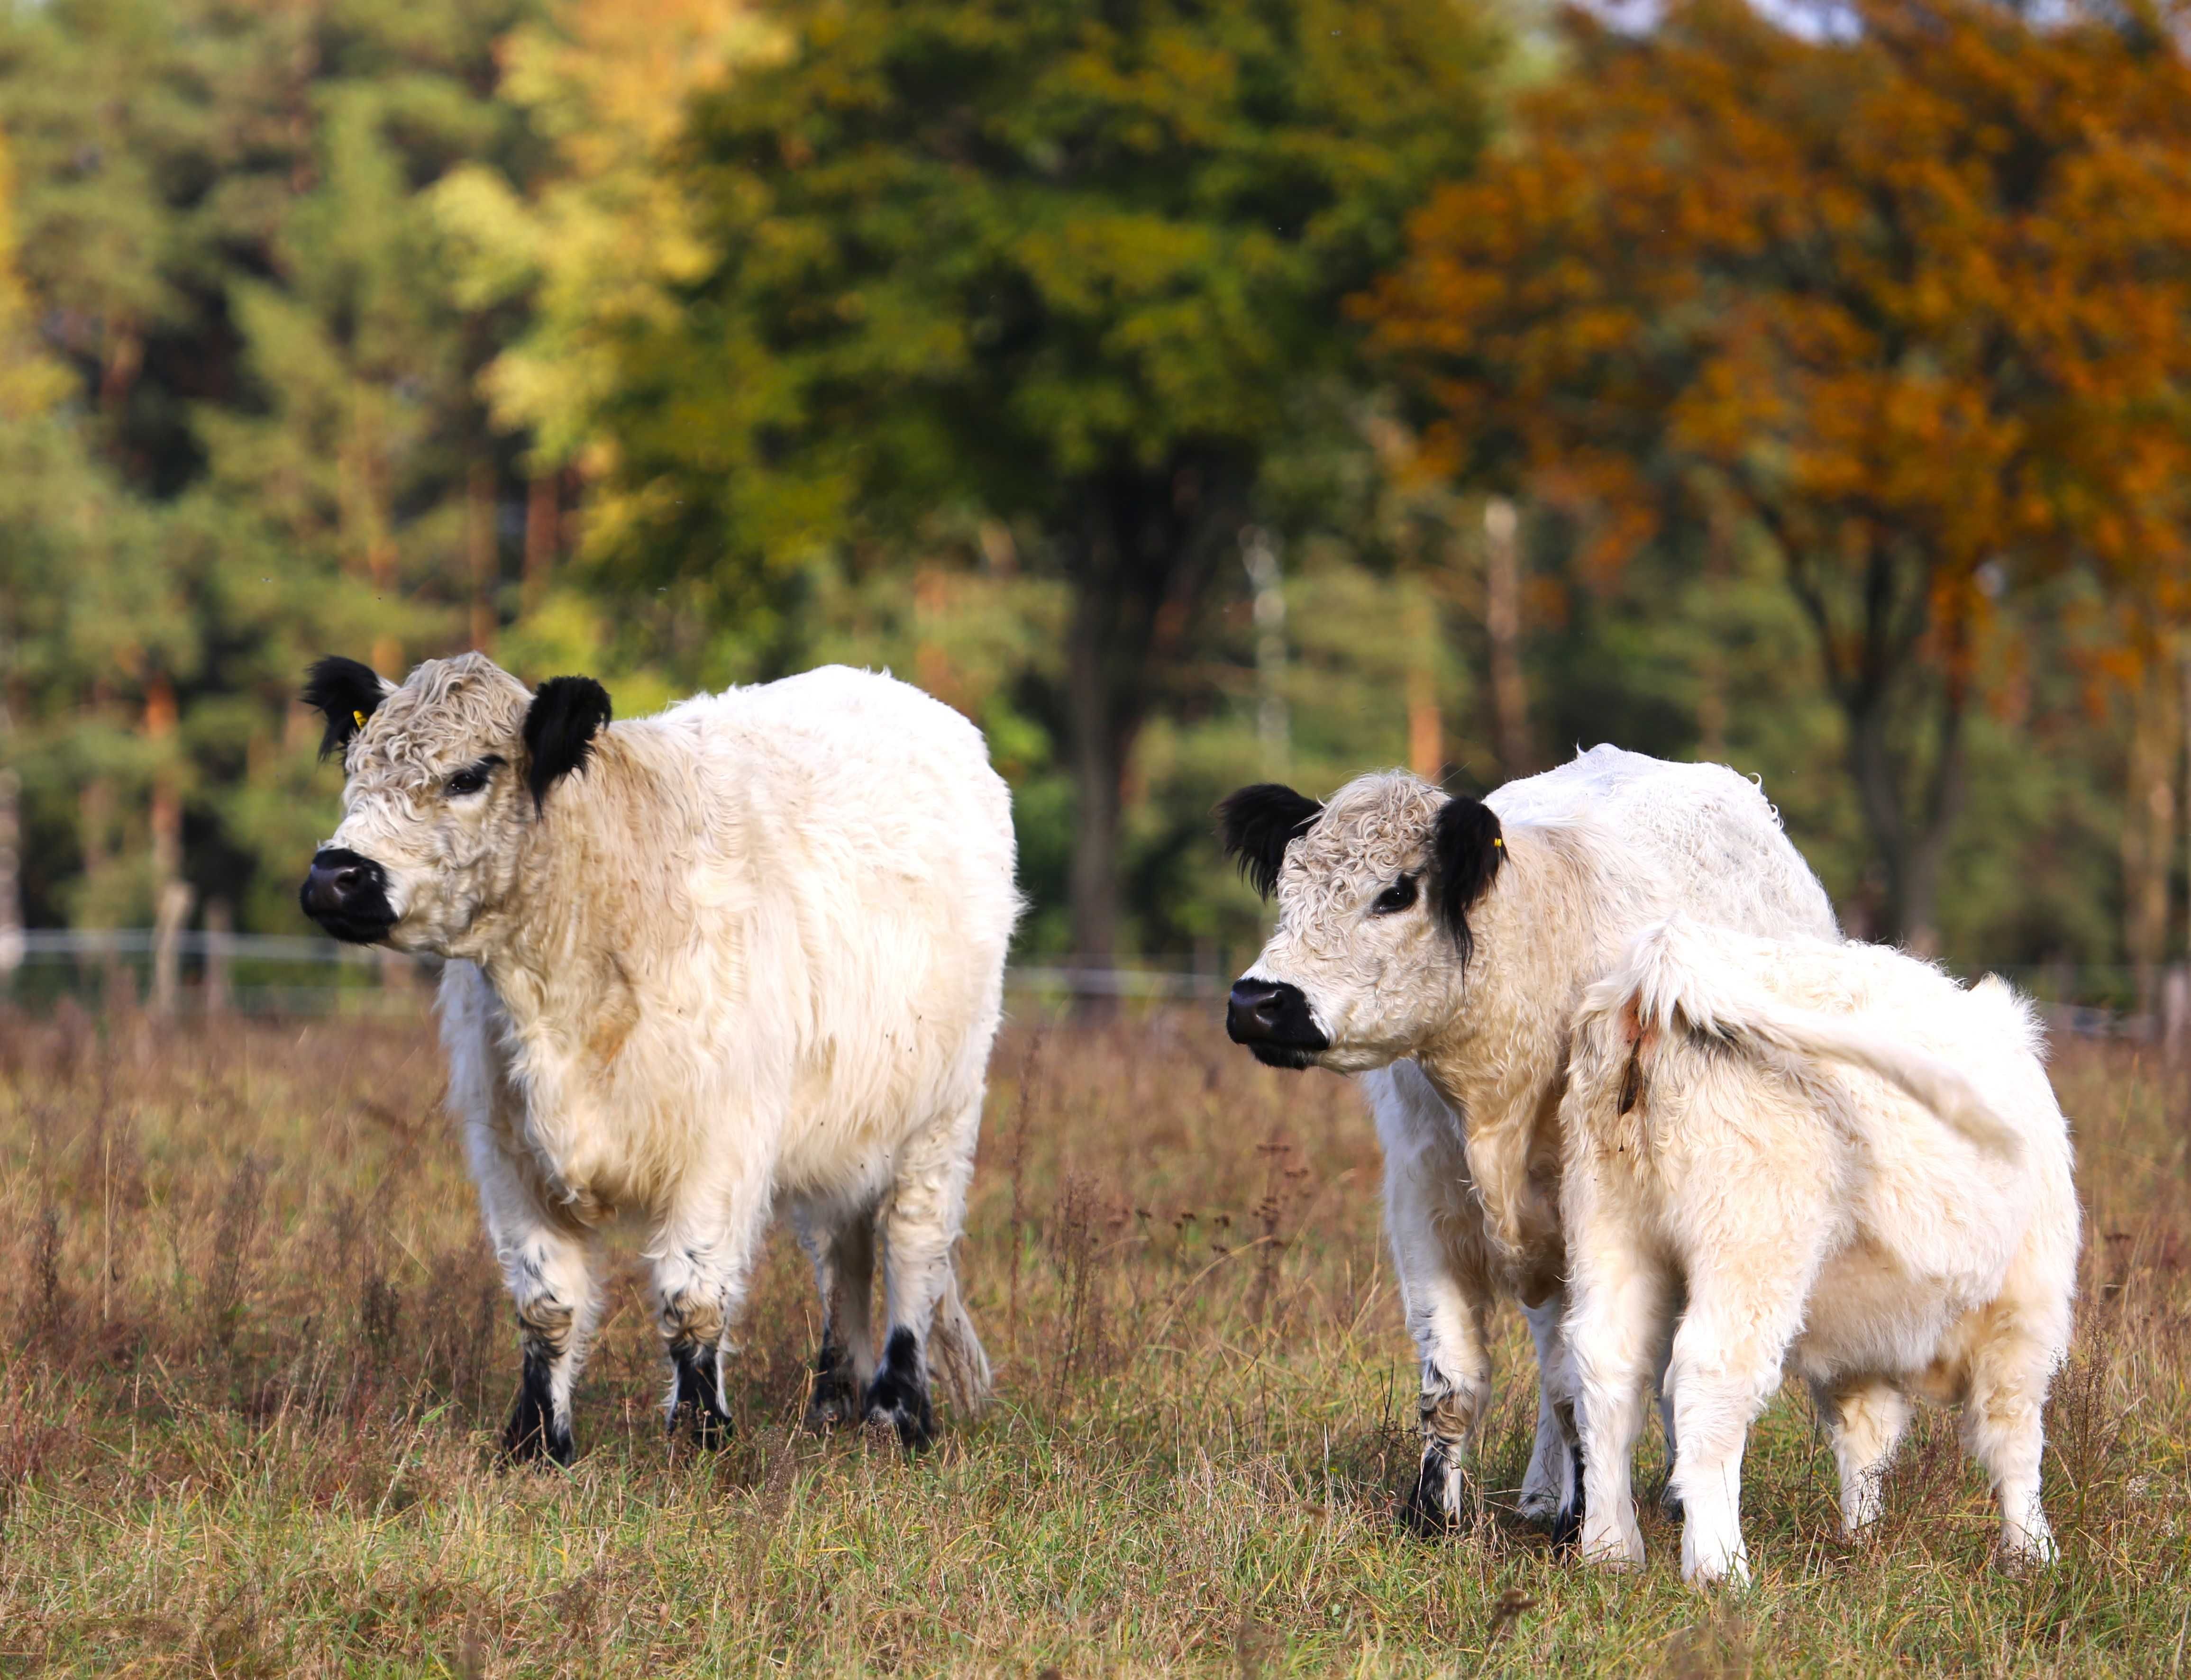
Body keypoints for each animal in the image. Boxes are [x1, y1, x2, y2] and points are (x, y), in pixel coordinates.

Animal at [300, 648, 1016, 1463]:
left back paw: (900, 1411)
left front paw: (702, 1435)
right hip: (840, 1132)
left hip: (942, 1113)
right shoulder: (506, 1148)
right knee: (842, 1253)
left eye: (470, 775)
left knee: (911, 1246)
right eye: (356, 762)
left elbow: (692, 1295)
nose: (335, 875)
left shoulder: (724, 1142)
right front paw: (536, 1440)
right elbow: (546, 1303)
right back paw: (836, 1403)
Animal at [1218, 749, 1831, 1542]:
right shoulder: (1425, 1203)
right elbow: (1455, 1377)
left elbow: (1590, 1378)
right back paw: (1543, 1492)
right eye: (1289, 888)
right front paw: (1432, 1515)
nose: (1256, 1003)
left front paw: (1589, 1523)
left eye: (1396, 892)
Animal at [1560, 928, 2068, 1586]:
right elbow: (2013, 1436)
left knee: (1607, 1372)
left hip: (1610, 1226)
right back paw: (1719, 1567)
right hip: (1752, 1241)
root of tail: (1670, 950)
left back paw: (1610, 1550)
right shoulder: (2024, 1311)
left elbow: (1867, 1438)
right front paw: (2032, 1553)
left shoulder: (1863, 1345)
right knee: (1709, 1378)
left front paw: (1863, 1540)